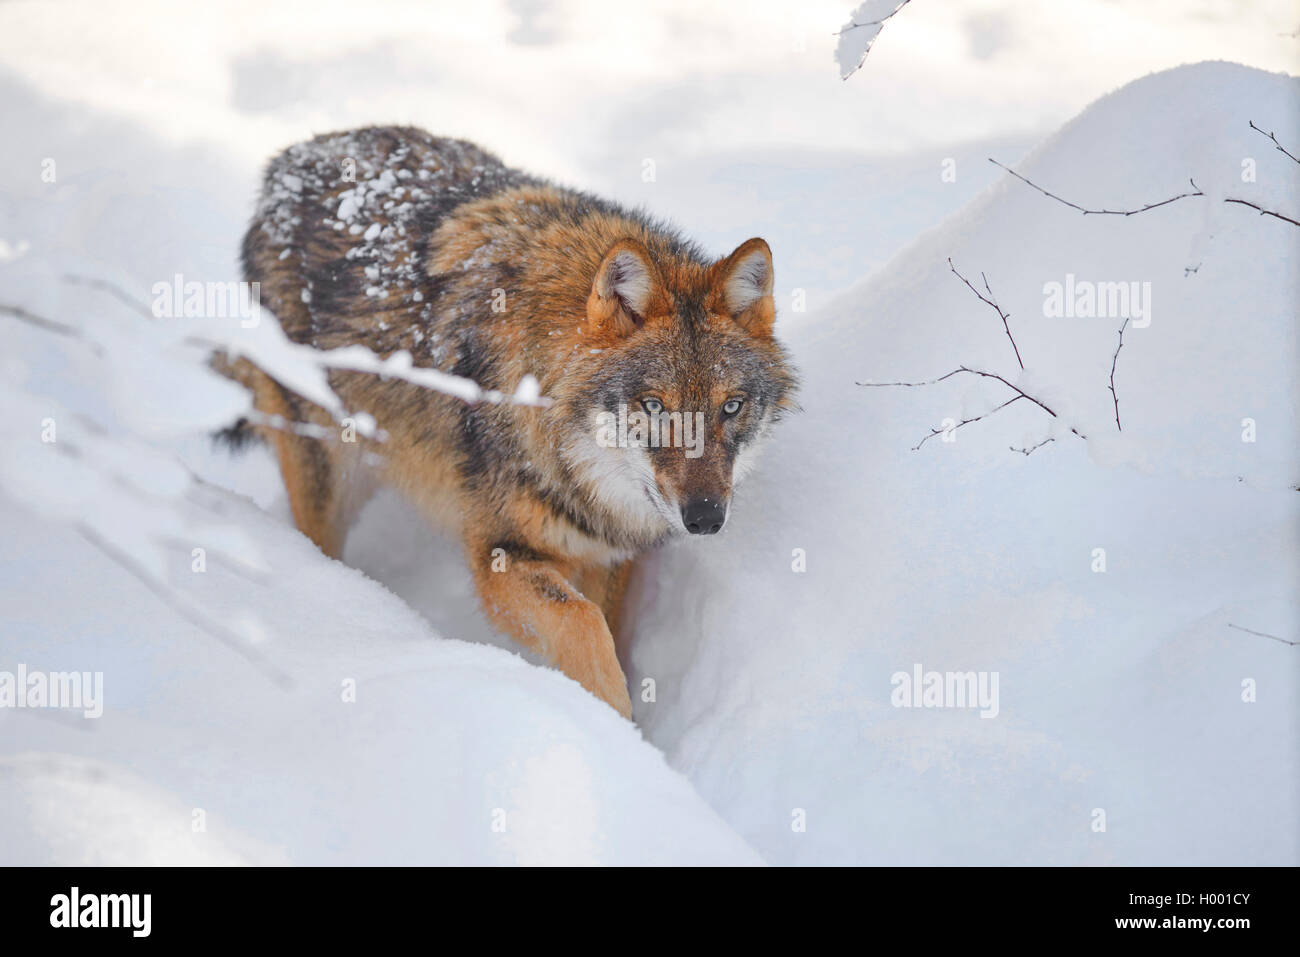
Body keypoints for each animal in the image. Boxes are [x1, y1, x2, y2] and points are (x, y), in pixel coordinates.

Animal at [219, 126, 798, 717]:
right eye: (654, 406)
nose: (705, 518)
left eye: (731, 407)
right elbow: (583, 624)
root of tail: (290, 158)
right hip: (326, 478)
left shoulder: (606, 556)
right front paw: (611, 726)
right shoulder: (497, 557)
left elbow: (604, 627)